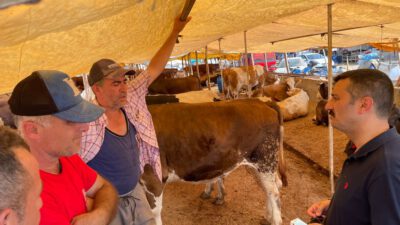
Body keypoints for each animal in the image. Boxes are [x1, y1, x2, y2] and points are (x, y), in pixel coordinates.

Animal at [144, 99, 288, 225]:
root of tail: (262, 102)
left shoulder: (151, 176)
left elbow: (154, 212)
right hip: (257, 164)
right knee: (270, 188)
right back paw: (267, 217)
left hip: (265, 161)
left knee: (274, 193)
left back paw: (275, 220)